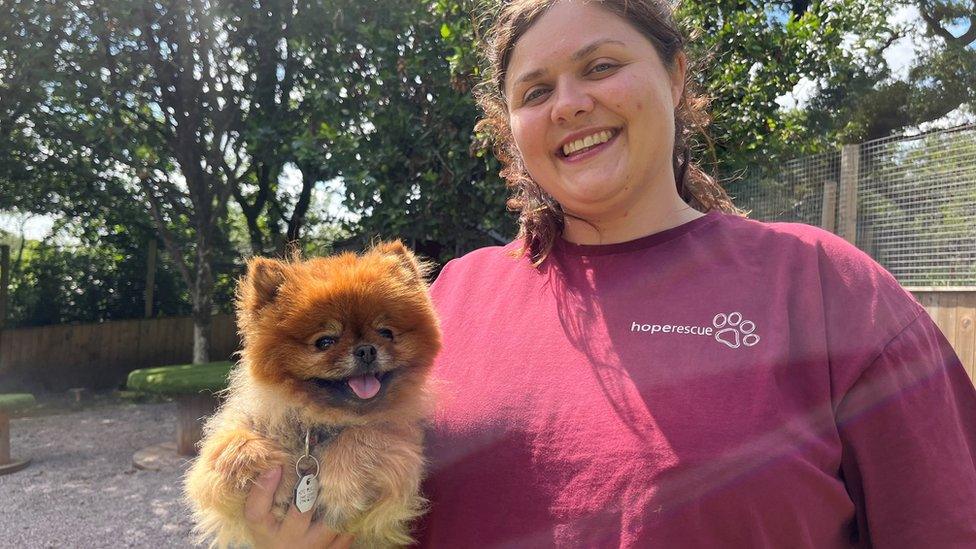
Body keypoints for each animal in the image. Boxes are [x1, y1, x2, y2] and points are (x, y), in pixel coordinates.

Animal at [184, 242, 442, 548]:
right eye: (325, 342)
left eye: (386, 333)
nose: (366, 349)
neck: (318, 423)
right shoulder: (222, 455)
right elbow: (228, 448)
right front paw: (271, 468)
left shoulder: (399, 447)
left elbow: (365, 434)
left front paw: (342, 485)